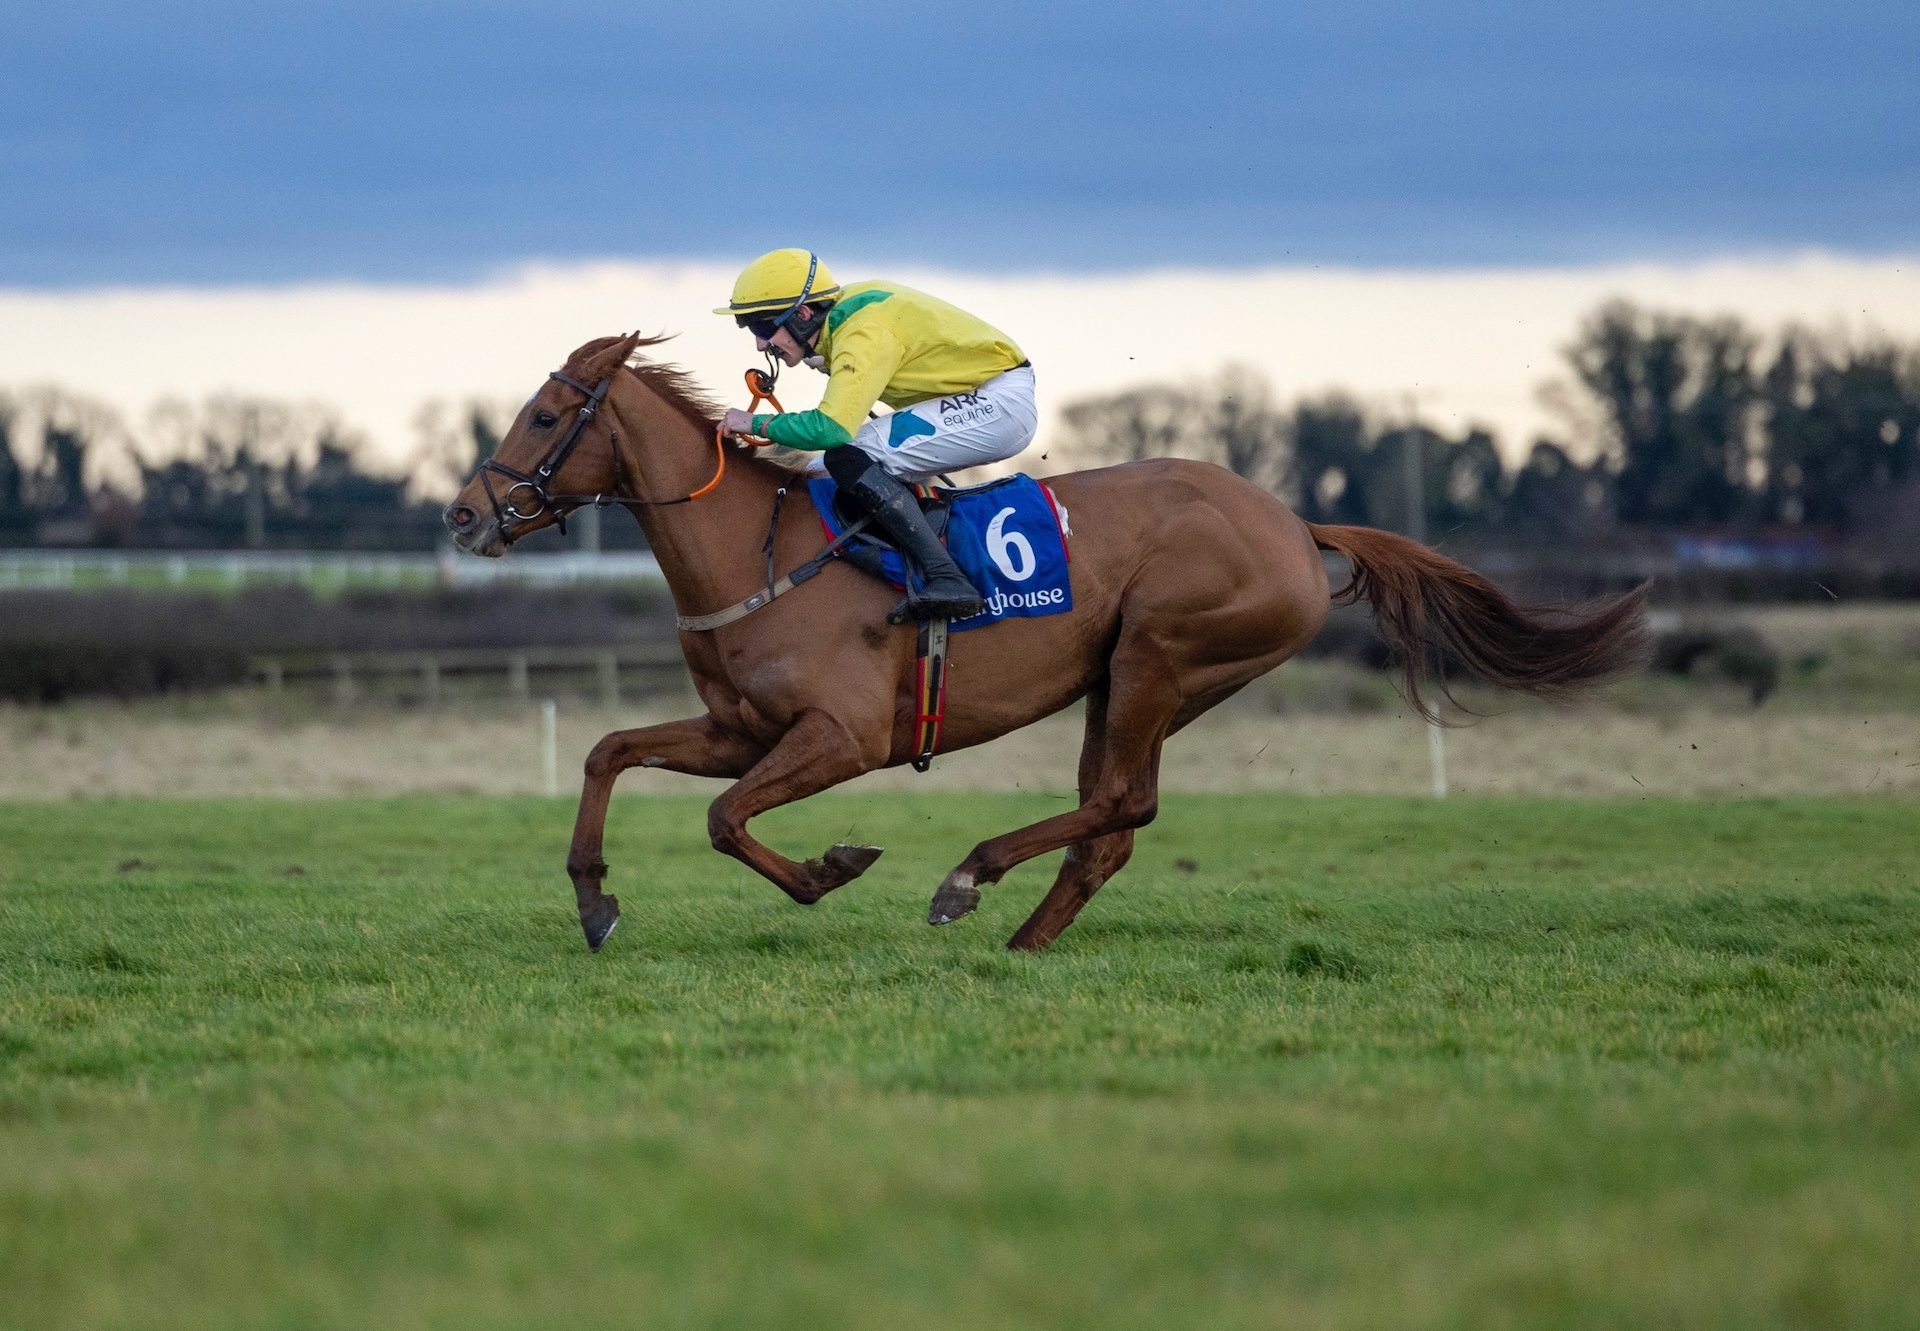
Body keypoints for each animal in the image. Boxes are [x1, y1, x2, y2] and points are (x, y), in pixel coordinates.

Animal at [441, 338, 1643, 948]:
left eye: (543, 418)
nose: (462, 514)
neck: (756, 552)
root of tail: (1295, 523)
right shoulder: (741, 727)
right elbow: (610, 751)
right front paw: (594, 897)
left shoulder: (841, 736)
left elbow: (725, 819)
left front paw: (831, 868)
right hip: (1126, 677)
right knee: (1113, 821)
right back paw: (1023, 936)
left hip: (1162, 650)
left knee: (1122, 802)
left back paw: (970, 876)